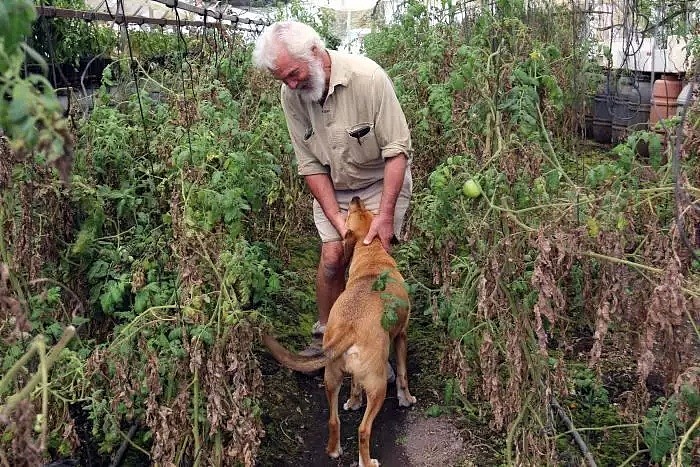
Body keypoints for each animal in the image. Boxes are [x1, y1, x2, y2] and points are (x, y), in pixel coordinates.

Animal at [262, 197, 416, 467]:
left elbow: (354, 384)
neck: (371, 256)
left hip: (331, 378)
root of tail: (348, 328)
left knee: (333, 420)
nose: (355, 198)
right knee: (363, 430)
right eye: (355, 211)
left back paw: (334, 450)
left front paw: (353, 401)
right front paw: (406, 399)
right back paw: (367, 461)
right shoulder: (401, 336)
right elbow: (403, 374)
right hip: (377, 387)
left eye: (364, 210)